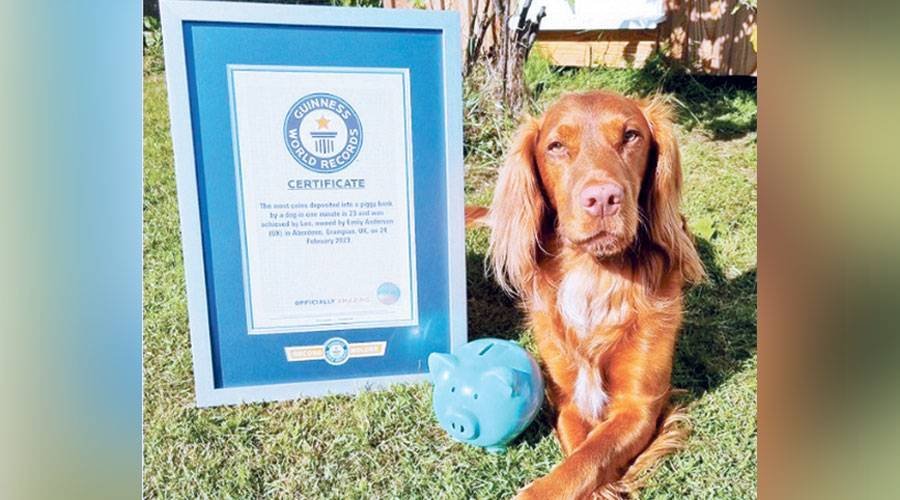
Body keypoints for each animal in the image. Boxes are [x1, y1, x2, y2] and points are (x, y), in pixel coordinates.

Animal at [469, 91, 704, 499]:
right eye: (556, 146)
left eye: (631, 136)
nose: (603, 197)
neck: (595, 274)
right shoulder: (569, 398)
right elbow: (582, 448)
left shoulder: (640, 405)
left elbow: (590, 456)